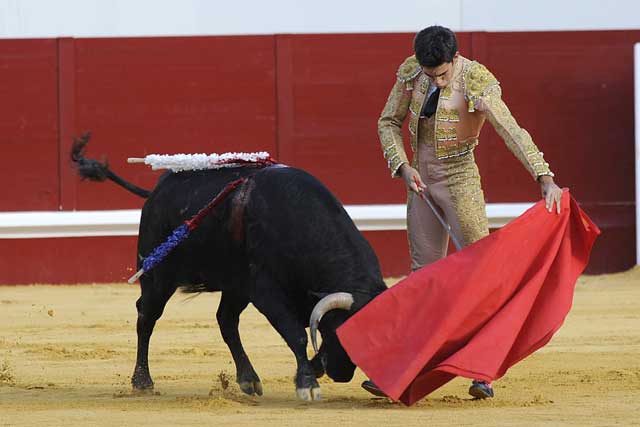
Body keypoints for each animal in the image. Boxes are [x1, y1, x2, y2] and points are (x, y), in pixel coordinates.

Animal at [72, 145, 388, 402]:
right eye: (341, 331)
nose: (341, 374)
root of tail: (156, 192)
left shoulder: (266, 290)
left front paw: (311, 369)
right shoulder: (265, 289)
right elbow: (296, 334)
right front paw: (307, 384)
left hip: (234, 286)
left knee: (225, 320)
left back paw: (248, 379)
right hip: (158, 275)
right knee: (146, 316)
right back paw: (142, 381)